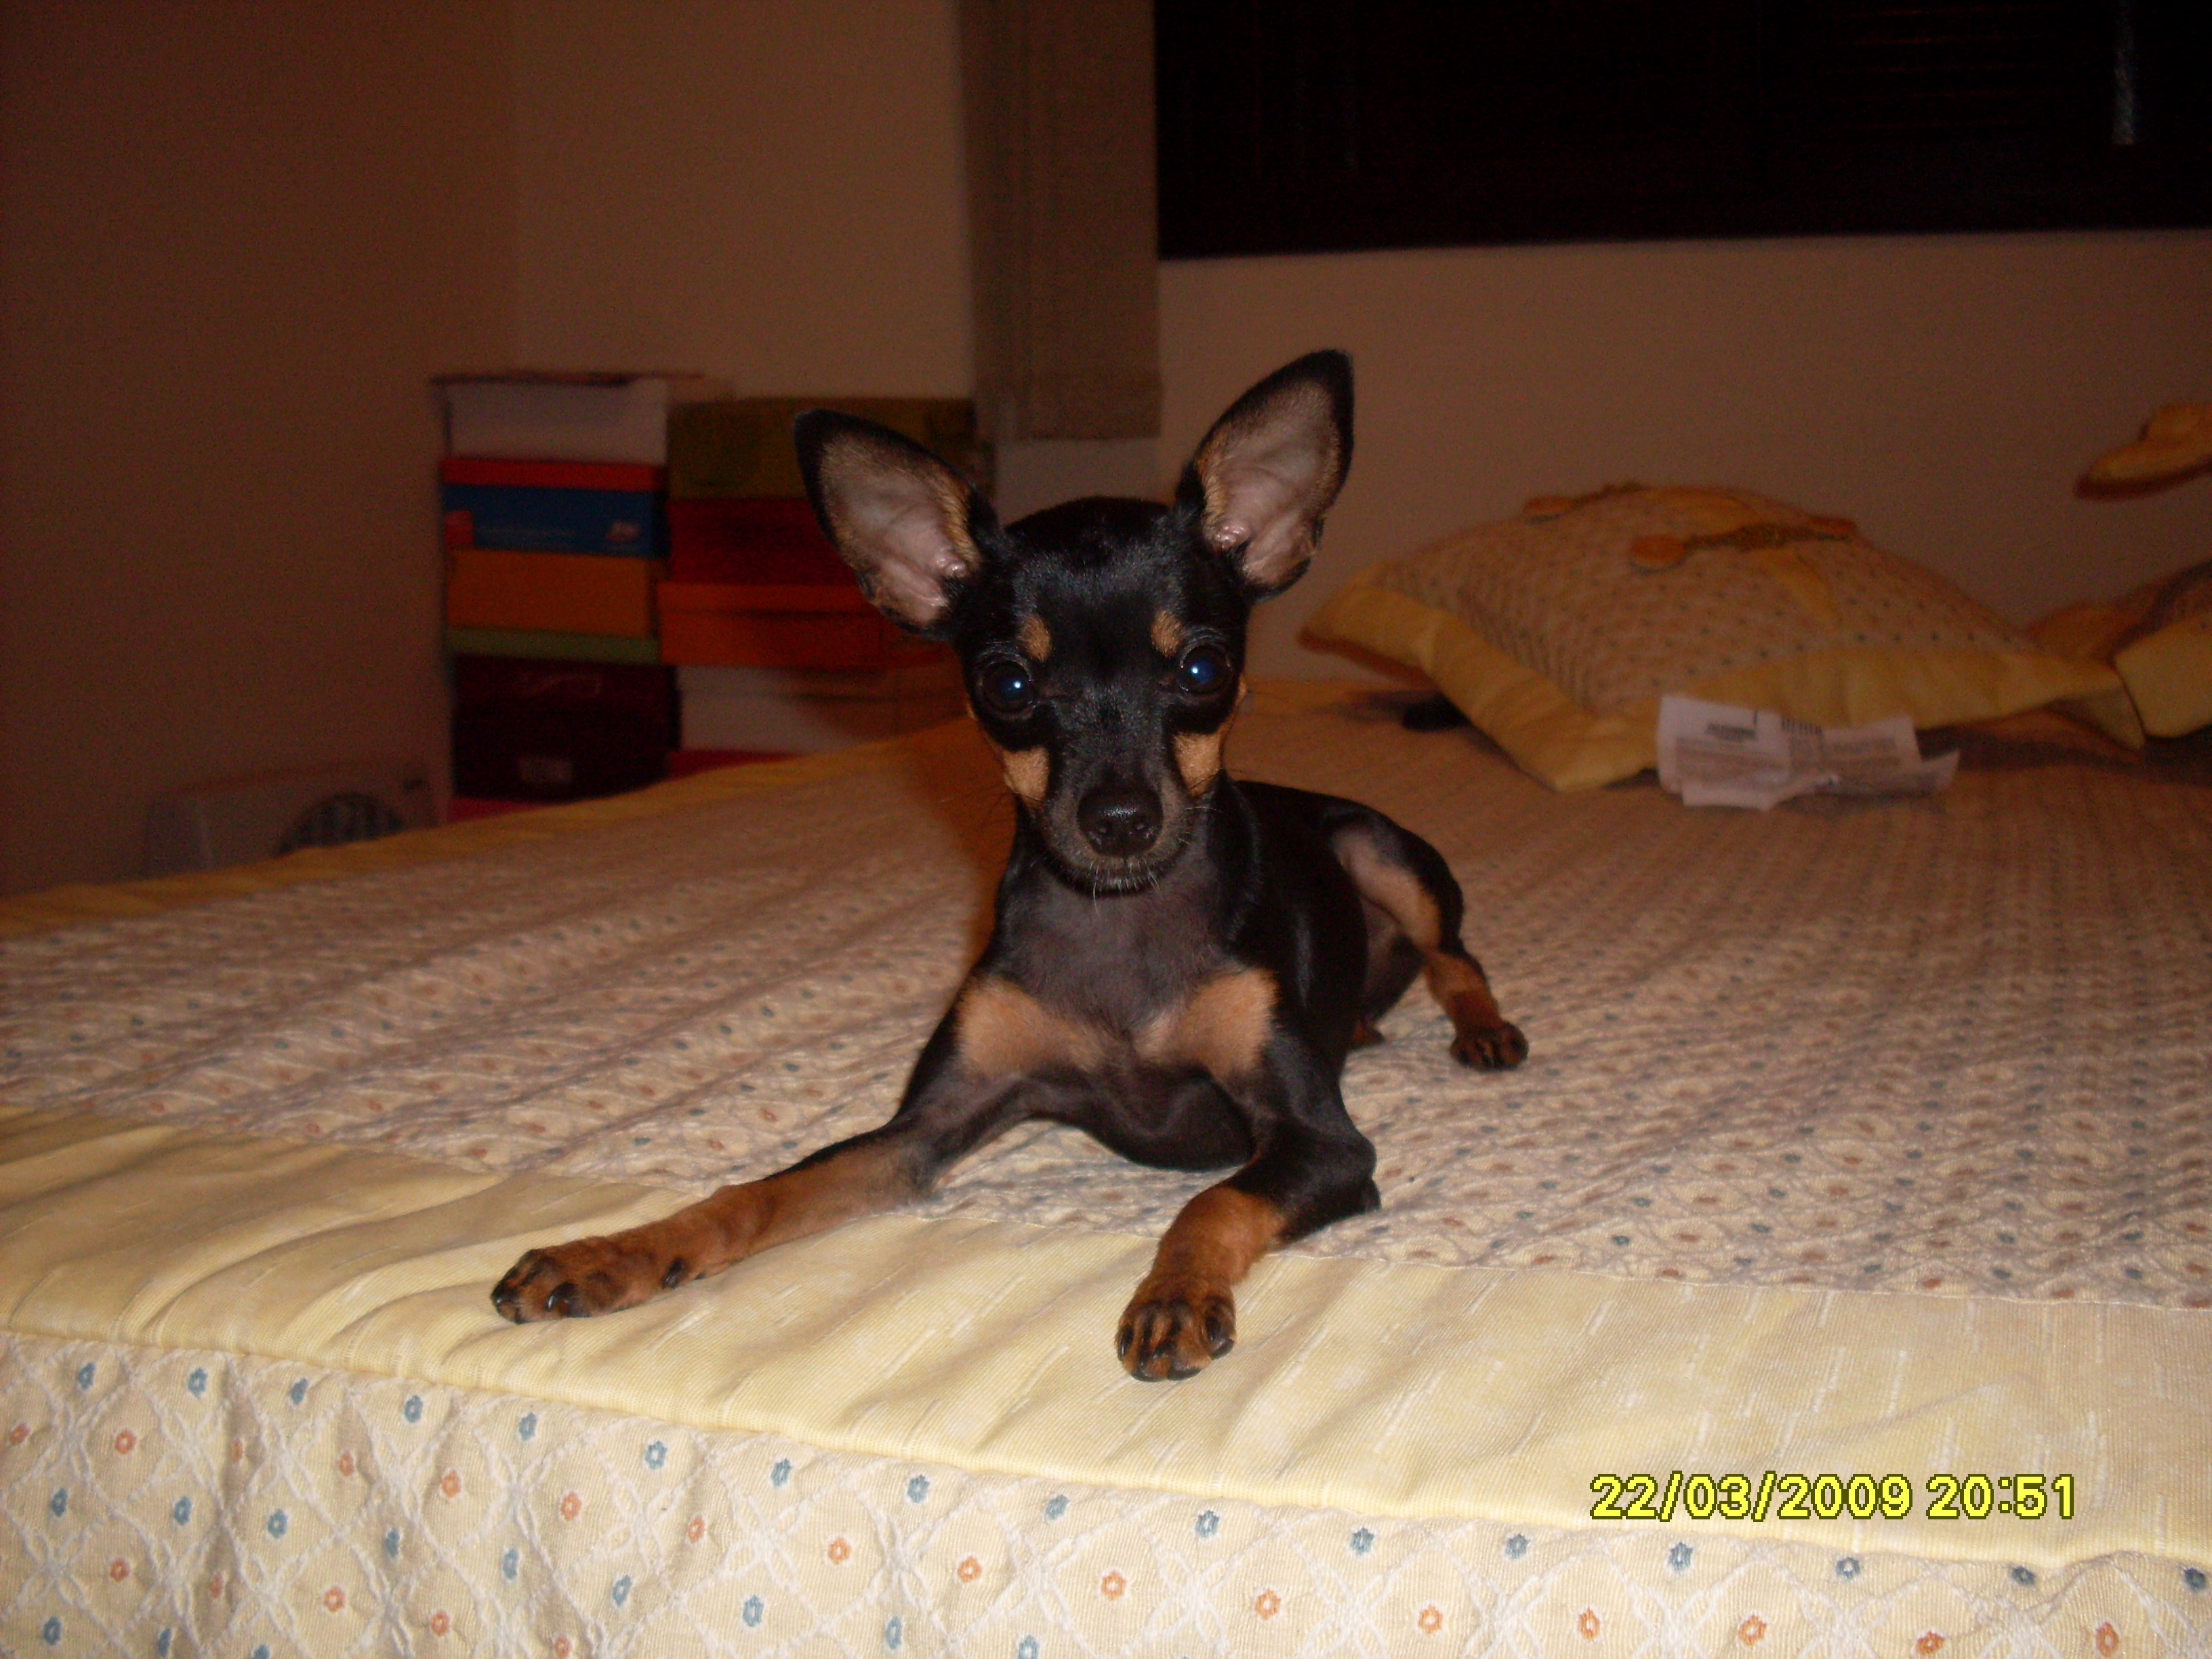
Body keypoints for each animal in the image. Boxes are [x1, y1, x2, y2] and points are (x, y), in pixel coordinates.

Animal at [493, 351, 1528, 1379]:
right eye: (1007, 683)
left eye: (1202, 671)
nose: (1120, 820)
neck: (1121, 921)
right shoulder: (923, 1132)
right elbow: (763, 1190)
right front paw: (616, 1250)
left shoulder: (1325, 1143)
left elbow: (1214, 1198)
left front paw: (1175, 1291)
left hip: (1382, 852)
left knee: (1456, 955)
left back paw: (1481, 1029)